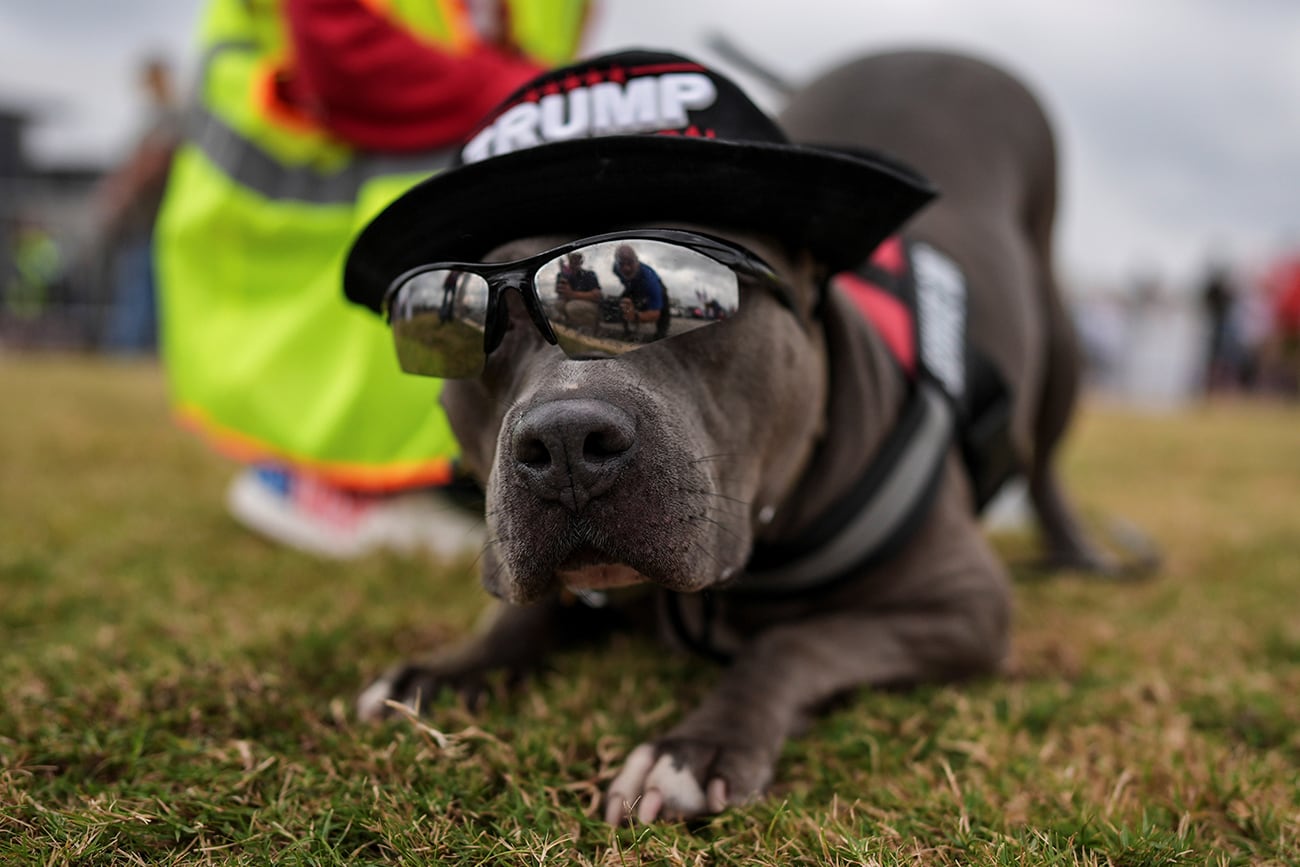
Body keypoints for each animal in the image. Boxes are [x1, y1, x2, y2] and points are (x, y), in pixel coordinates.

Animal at [343, 49, 1128, 826]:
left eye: (697, 302)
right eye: (484, 323)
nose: (565, 442)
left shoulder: (965, 603)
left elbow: (790, 641)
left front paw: (696, 749)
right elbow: (521, 616)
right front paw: (443, 671)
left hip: (1060, 346)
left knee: (1046, 464)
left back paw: (1077, 552)